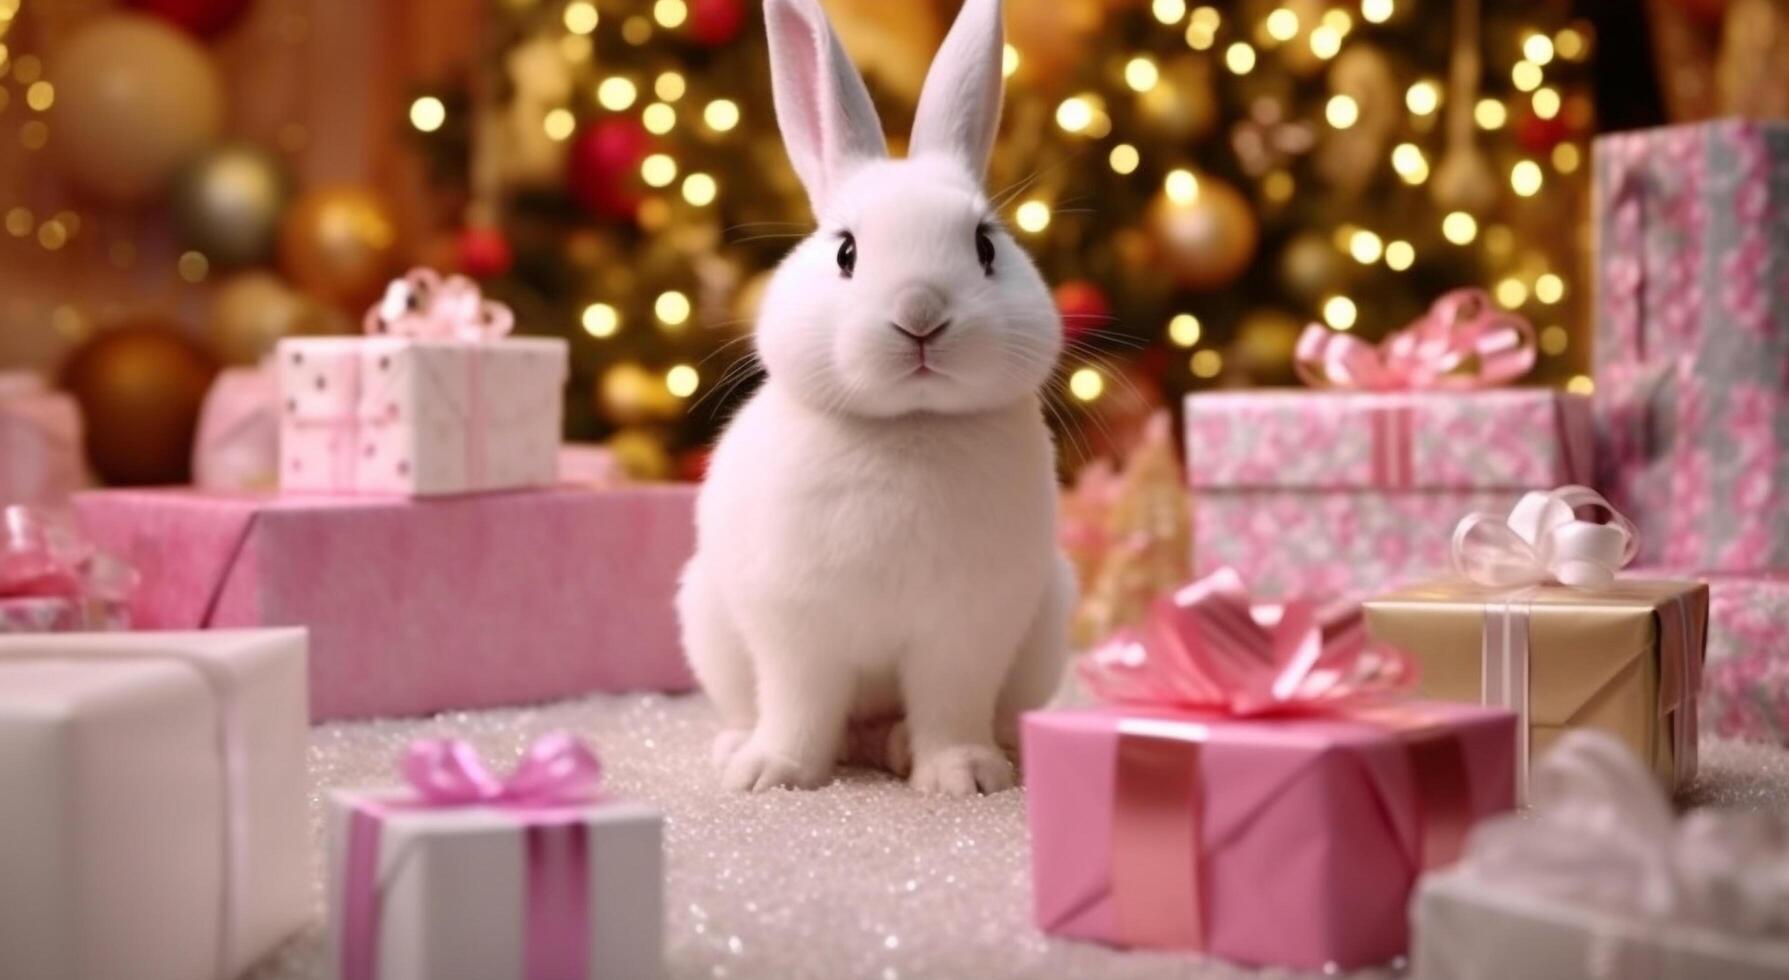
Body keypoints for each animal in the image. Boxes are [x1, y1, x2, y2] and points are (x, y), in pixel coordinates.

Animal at [676, 0, 1066, 797]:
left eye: (985, 247)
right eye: (846, 252)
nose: (920, 313)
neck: (907, 427)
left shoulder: (966, 630)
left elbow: (951, 705)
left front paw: (964, 777)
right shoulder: (795, 627)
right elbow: (797, 702)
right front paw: (775, 774)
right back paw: (742, 748)